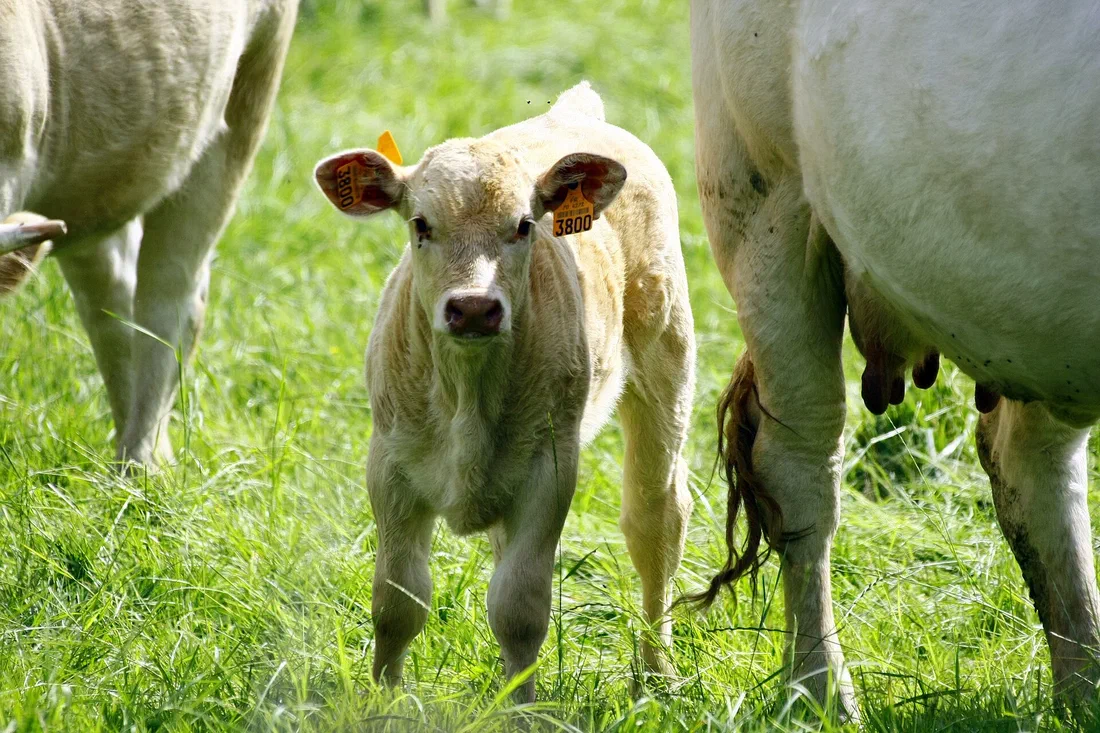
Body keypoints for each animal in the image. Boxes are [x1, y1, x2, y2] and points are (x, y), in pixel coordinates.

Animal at [313, 82, 696, 701]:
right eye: (420, 223)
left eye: (523, 225)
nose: (473, 307)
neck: (466, 396)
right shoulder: (389, 468)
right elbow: (398, 601)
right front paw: (387, 701)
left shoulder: (550, 471)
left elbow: (519, 607)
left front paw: (519, 708)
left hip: (667, 368)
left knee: (655, 522)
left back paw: (658, 673)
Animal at [690, 0, 1100, 719]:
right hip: (764, 200)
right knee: (799, 467)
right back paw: (822, 694)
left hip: (1042, 313)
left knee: (1033, 463)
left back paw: (1085, 685)